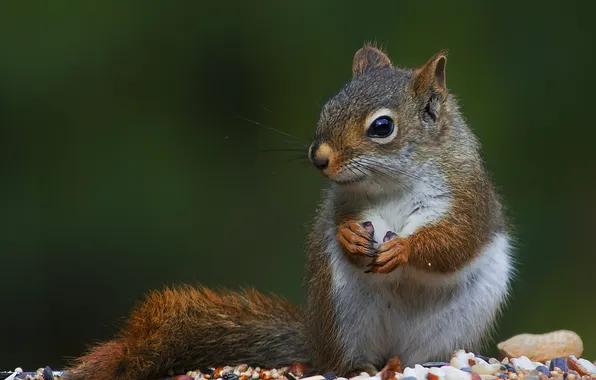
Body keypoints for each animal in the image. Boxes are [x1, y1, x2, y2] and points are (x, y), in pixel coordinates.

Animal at [64, 45, 512, 380]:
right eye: (328, 107)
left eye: (382, 127)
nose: (319, 158)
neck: (391, 184)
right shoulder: (342, 203)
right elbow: (337, 223)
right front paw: (349, 237)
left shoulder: (468, 198)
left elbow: (454, 242)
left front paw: (403, 250)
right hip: (340, 308)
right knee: (343, 361)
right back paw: (357, 366)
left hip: (458, 318)